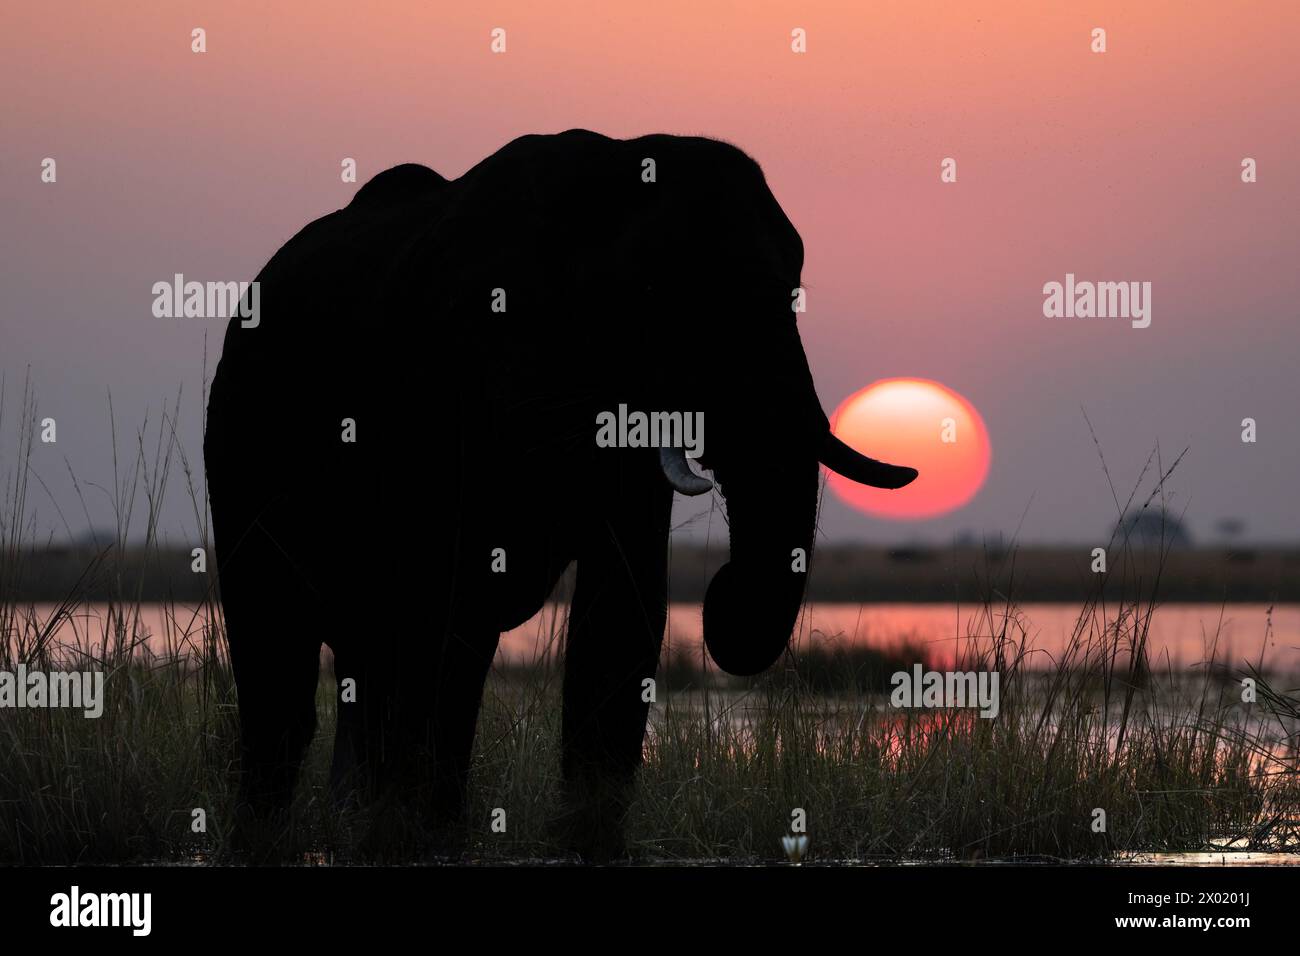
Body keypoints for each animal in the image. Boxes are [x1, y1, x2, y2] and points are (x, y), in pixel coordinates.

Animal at [202, 125, 915, 858]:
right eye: (663, 297)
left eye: (794, 291)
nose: (719, 590)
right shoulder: (455, 380)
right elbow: (442, 602)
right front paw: (427, 837)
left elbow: (625, 598)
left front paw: (588, 841)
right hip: (242, 438)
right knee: (282, 637)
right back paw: (273, 834)